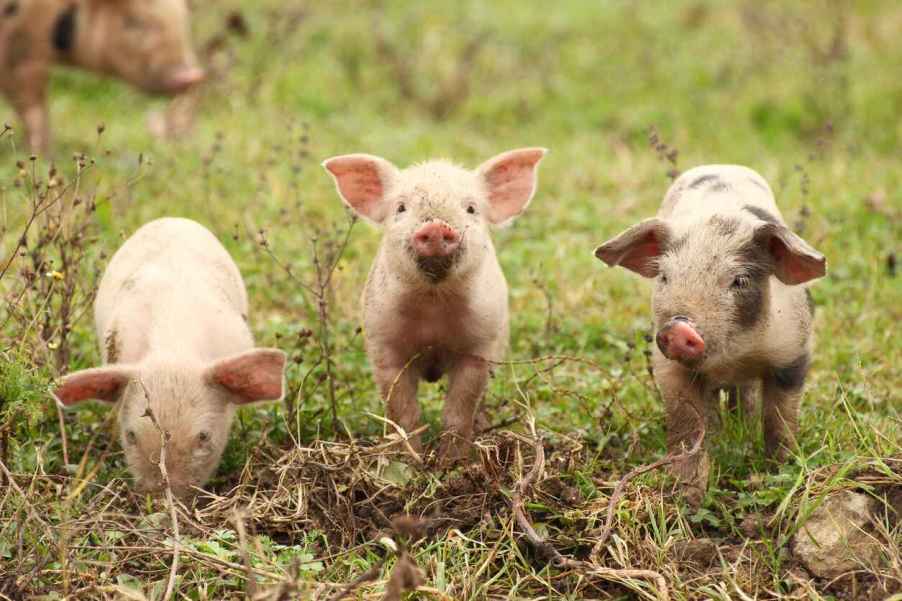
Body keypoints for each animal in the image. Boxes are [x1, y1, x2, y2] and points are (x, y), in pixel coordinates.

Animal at [0, 0, 204, 152]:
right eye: (135, 22)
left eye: (184, 22)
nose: (192, 77)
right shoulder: (21, 51)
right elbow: (34, 108)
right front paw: (43, 154)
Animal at [326, 148, 552, 462]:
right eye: (401, 208)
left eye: (471, 208)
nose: (435, 227)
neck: (433, 306)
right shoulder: (384, 345)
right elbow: (403, 412)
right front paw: (410, 461)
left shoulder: (478, 347)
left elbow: (459, 410)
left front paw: (451, 463)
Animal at [596, 163, 828, 502]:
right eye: (664, 277)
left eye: (740, 280)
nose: (679, 326)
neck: (732, 356)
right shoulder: (669, 367)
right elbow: (687, 425)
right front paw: (687, 496)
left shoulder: (793, 352)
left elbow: (780, 420)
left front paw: (780, 472)